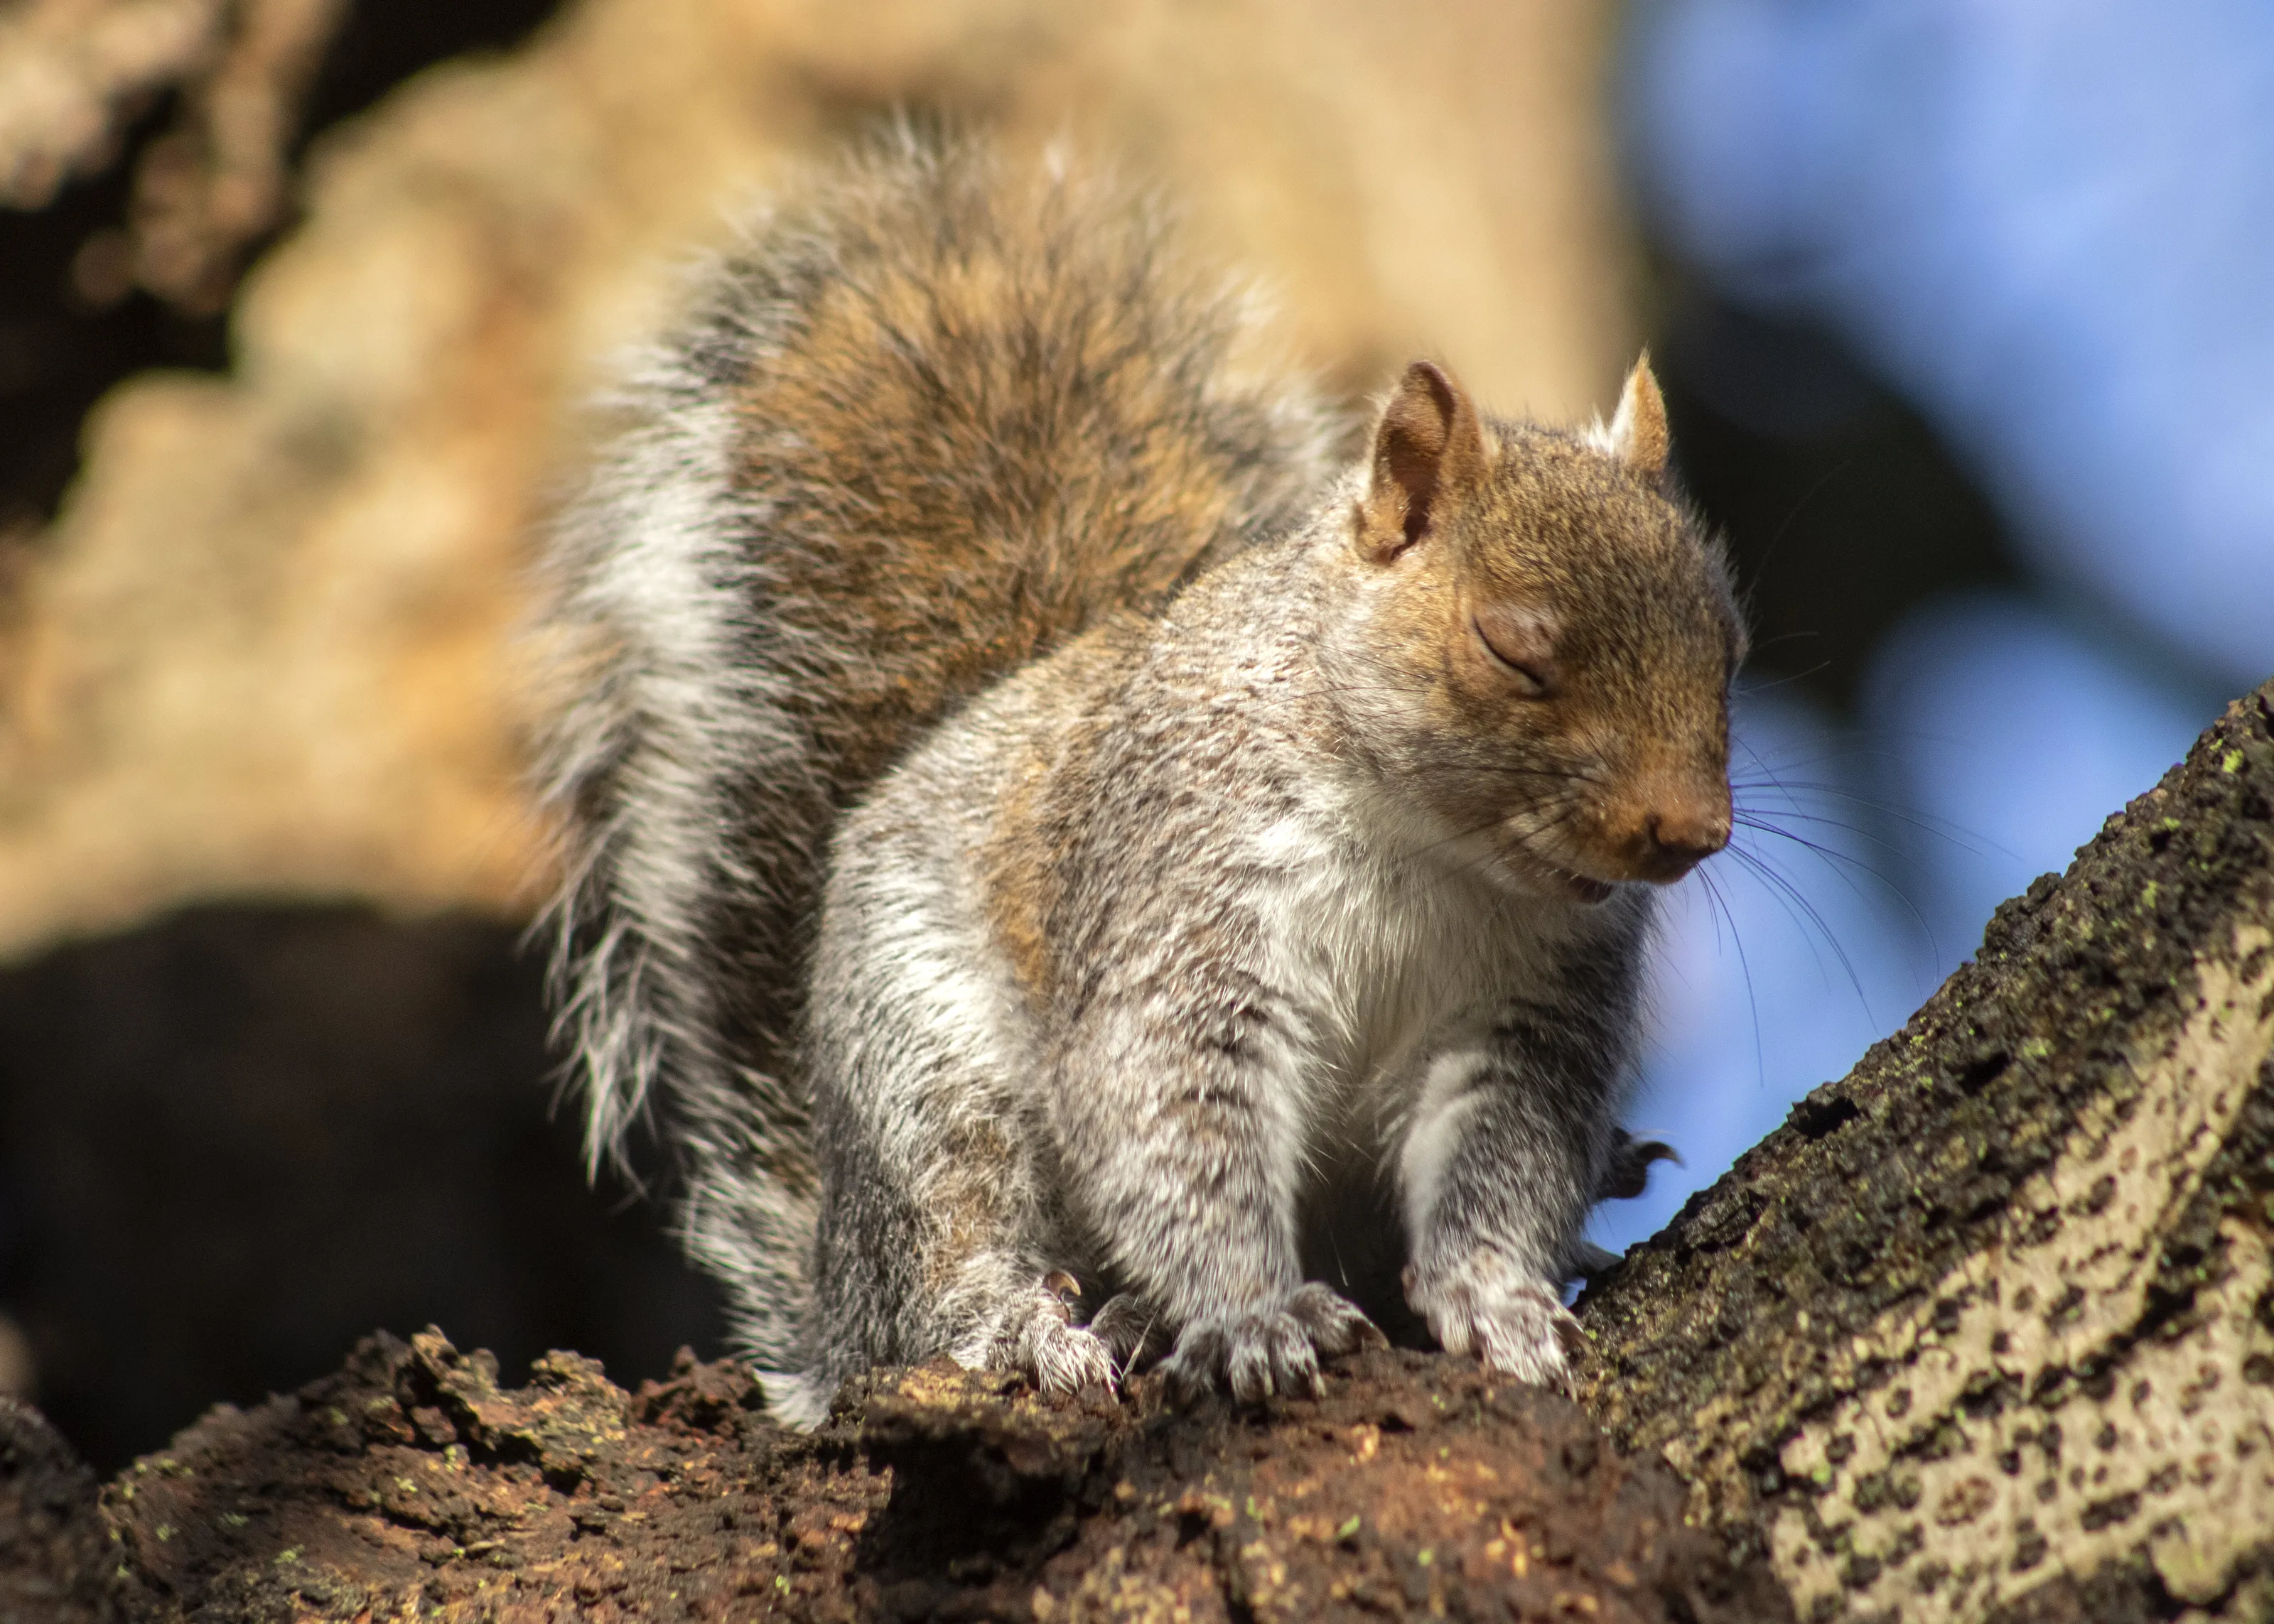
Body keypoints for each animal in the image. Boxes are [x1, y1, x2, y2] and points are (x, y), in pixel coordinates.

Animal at [536, 132, 1738, 1425]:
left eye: (1731, 646)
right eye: (1512, 646)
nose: (1690, 831)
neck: (1432, 849)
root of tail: (829, 1294)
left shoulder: (1531, 1008)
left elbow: (1500, 1156)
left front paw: (1497, 1295)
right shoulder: (1181, 894)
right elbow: (1171, 1113)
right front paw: (1255, 1315)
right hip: (924, 1076)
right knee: (930, 1279)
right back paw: (1033, 1327)